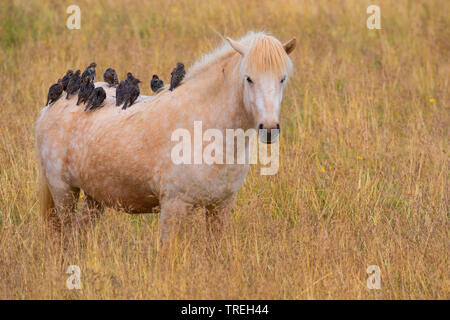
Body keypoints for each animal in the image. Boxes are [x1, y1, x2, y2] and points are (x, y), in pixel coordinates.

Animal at [35, 31, 296, 244]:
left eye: (283, 78)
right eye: (248, 78)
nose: (269, 128)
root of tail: (51, 107)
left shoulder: (220, 206)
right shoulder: (174, 206)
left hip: (94, 198)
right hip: (64, 193)